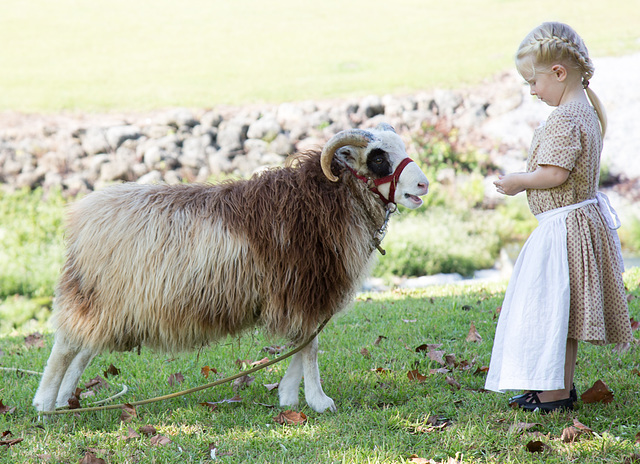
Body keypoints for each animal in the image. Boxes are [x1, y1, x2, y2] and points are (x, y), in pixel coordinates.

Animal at [31, 123, 430, 414]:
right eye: (378, 158)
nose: (423, 184)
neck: (325, 200)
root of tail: (81, 217)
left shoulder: (299, 294)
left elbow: (301, 344)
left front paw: (288, 396)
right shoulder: (304, 289)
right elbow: (310, 347)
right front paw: (318, 401)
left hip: (113, 308)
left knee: (83, 350)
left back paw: (65, 401)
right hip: (97, 298)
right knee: (65, 346)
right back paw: (44, 404)